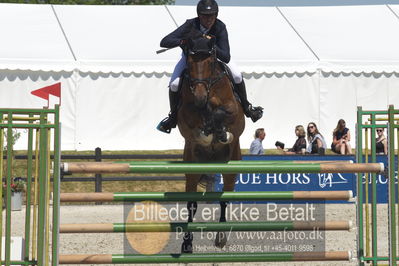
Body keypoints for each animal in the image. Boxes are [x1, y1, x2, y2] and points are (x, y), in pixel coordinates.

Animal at [178, 34, 247, 252]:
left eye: (209, 62)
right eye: (190, 62)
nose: (200, 97)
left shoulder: (233, 108)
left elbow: (220, 112)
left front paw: (220, 131)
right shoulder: (186, 113)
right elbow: (199, 117)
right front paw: (206, 131)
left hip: (230, 166)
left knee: (224, 200)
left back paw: (221, 238)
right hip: (192, 169)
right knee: (191, 204)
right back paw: (187, 243)